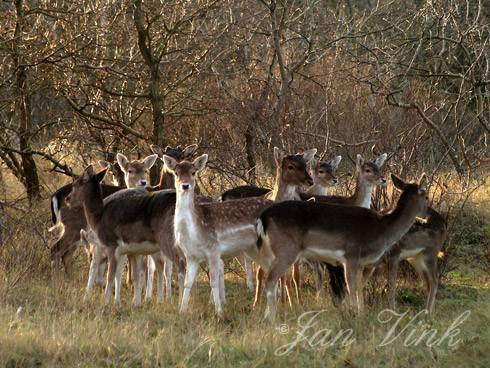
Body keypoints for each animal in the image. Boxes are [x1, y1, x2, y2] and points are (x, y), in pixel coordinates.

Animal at [164, 147, 318, 316]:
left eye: (193, 172)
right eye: (176, 172)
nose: (185, 186)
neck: (194, 229)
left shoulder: (213, 249)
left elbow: (213, 281)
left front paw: (219, 312)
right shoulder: (191, 255)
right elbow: (188, 283)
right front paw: (182, 311)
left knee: (278, 273)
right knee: (271, 273)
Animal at [256, 172, 428, 320]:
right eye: (426, 195)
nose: (426, 216)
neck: (382, 229)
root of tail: (263, 217)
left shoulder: (361, 263)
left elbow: (359, 287)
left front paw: (361, 314)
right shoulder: (351, 256)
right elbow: (351, 287)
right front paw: (354, 314)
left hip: (270, 253)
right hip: (286, 250)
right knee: (270, 280)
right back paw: (271, 318)